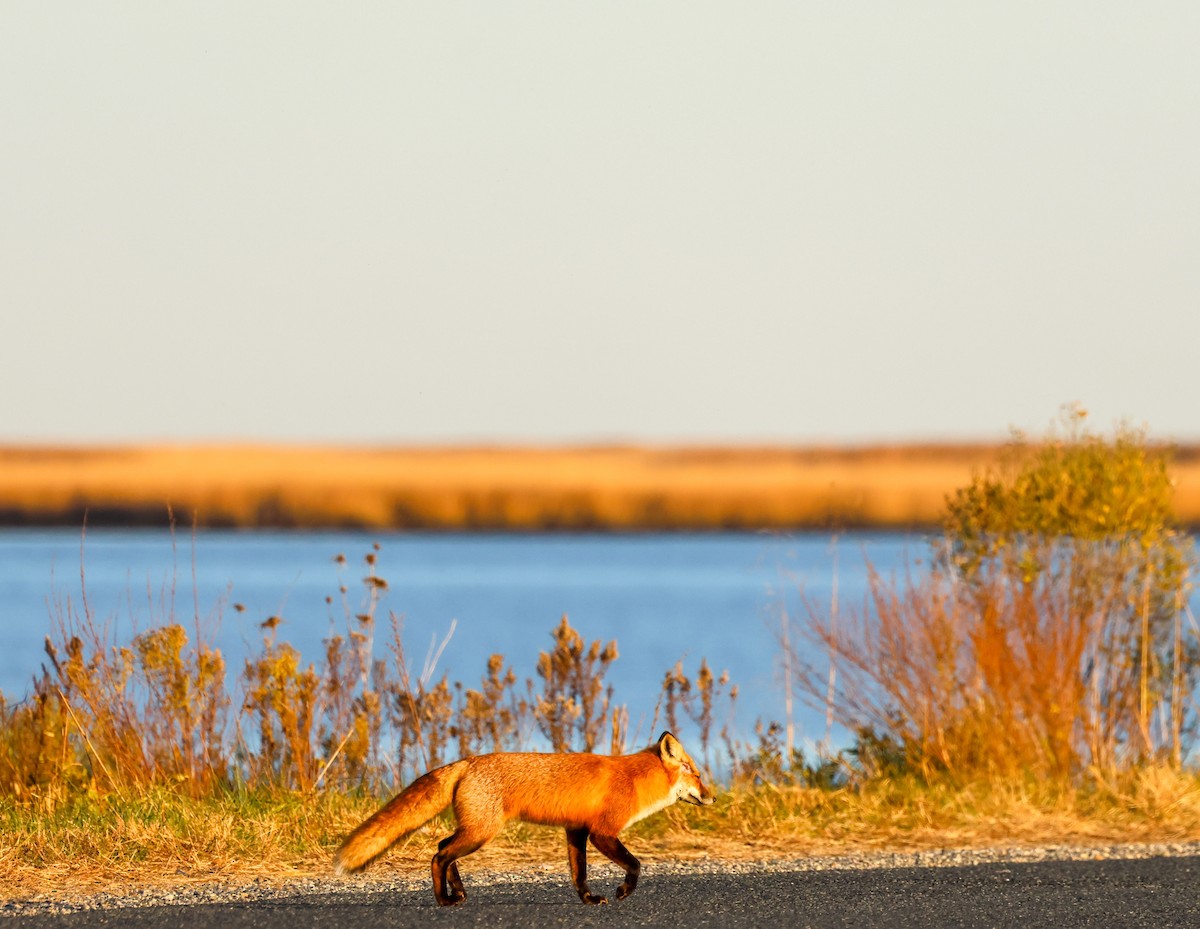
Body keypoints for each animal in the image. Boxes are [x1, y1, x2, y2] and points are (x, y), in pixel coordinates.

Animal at [333, 731, 715, 906]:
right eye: (696, 774)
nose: (713, 797)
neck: (634, 780)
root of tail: (468, 761)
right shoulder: (601, 832)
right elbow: (635, 864)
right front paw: (622, 891)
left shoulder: (576, 830)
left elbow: (579, 874)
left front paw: (589, 900)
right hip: (480, 833)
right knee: (438, 856)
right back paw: (443, 900)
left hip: (473, 831)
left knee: (442, 847)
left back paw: (458, 892)